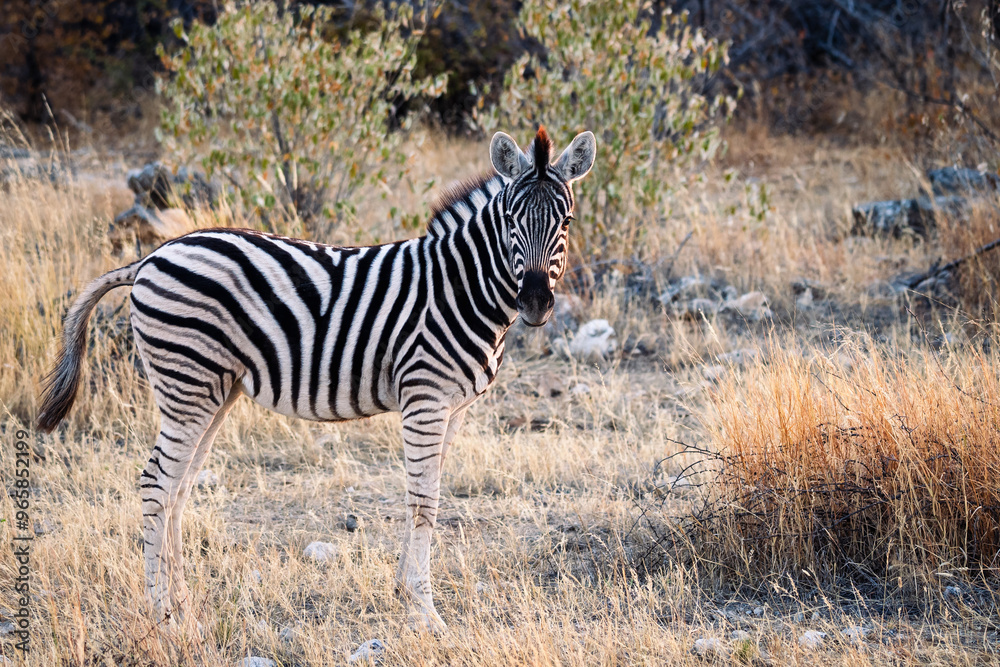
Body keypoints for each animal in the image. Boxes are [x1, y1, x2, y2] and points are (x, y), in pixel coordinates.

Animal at [36, 127, 596, 633]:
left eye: (566, 219)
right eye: (511, 219)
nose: (536, 302)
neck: (459, 287)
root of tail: (150, 257)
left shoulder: (454, 408)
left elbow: (426, 496)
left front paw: (406, 596)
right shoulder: (425, 399)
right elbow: (424, 501)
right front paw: (425, 613)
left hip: (214, 391)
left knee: (178, 486)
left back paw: (185, 610)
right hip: (186, 385)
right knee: (157, 483)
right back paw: (163, 618)